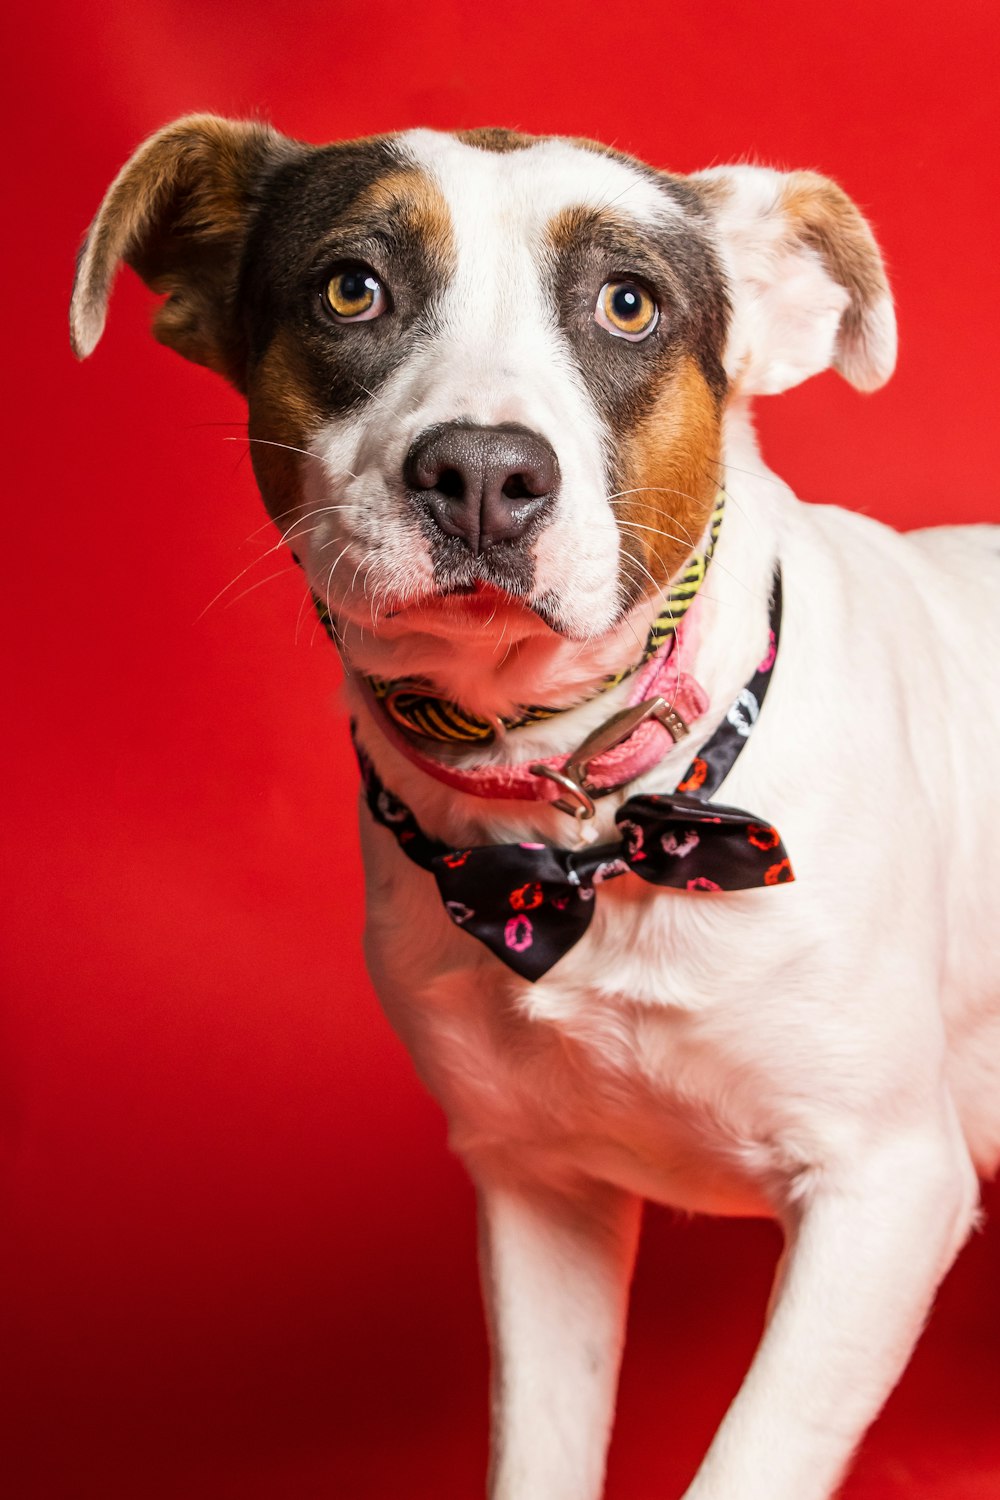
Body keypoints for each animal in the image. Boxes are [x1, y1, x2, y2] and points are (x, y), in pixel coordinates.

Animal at [72, 120, 1000, 1500]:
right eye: (351, 288)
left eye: (627, 305)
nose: (480, 469)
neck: (584, 827)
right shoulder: (538, 1193)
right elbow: (541, 1447)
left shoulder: (883, 1190)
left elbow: (746, 1464)